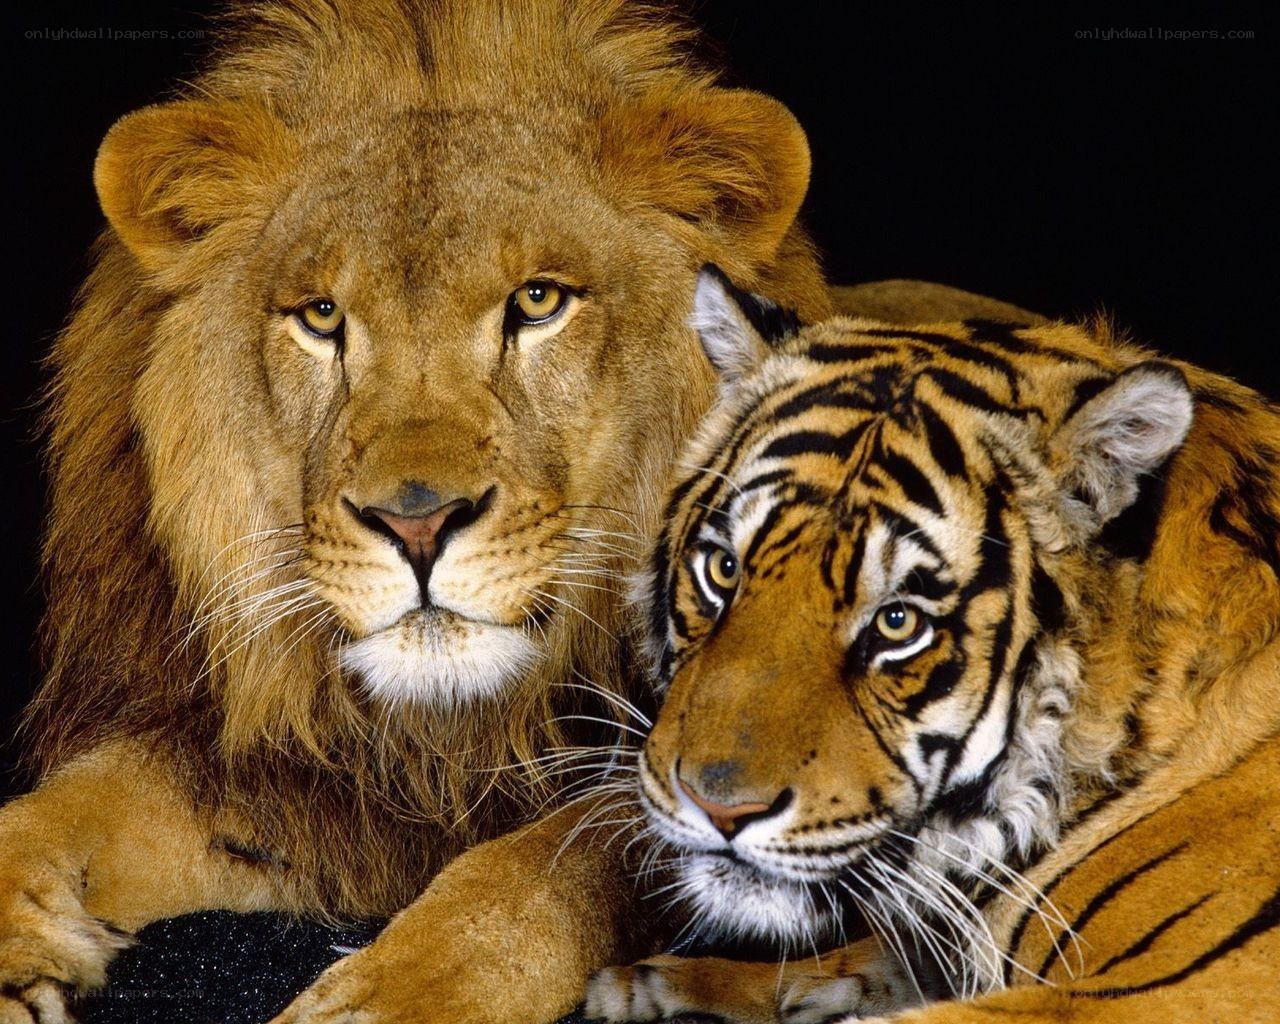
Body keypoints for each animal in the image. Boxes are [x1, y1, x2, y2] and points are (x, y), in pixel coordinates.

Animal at [0, 3, 1034, 1022]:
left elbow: (545, 867)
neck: (449, 734)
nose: (417, 523)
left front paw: (395, 993)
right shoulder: (285, 777)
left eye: (537, 301)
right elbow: (61, 811)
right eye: (323, 317)